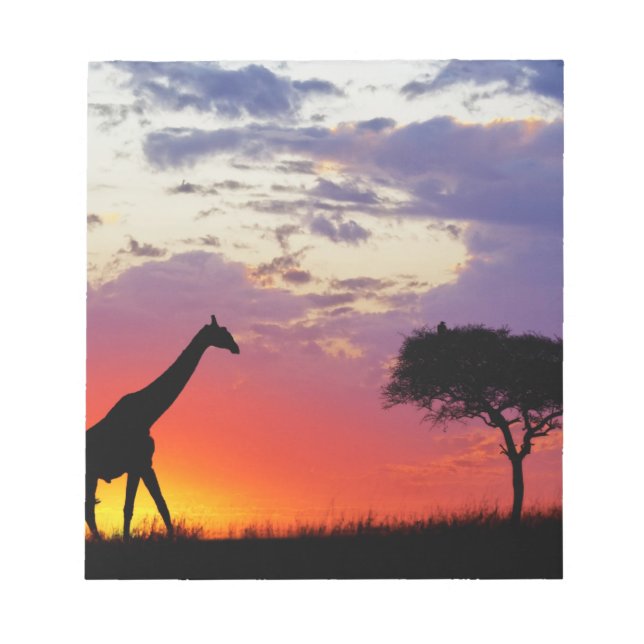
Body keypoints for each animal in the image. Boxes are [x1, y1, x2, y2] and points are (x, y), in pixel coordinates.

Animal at [85, 314, 240, 540]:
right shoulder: (138, 464)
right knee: (89, 510)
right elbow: (130, 508)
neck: (147, 415)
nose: (236, 347)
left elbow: (161, 505)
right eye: (223, 332)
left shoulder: (145, 465)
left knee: (88, 509)